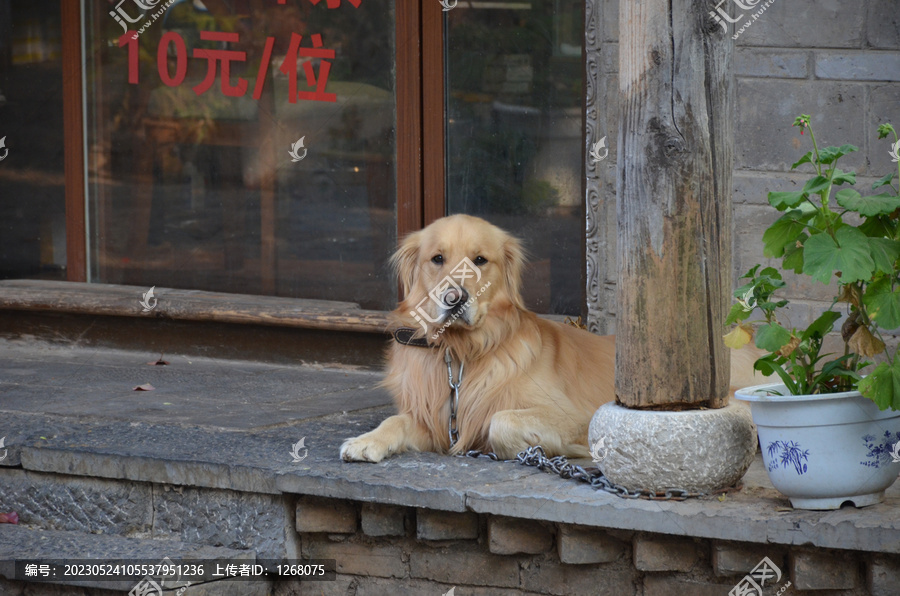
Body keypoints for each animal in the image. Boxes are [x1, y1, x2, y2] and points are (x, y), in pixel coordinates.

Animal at [342, 217, 764, 464]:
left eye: (480, 260)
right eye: (437, 259)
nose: (454, 298)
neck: (462, 352)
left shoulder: (572, 413)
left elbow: (499, 421)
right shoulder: (435, 420)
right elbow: (397, 420)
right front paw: (367, 440)